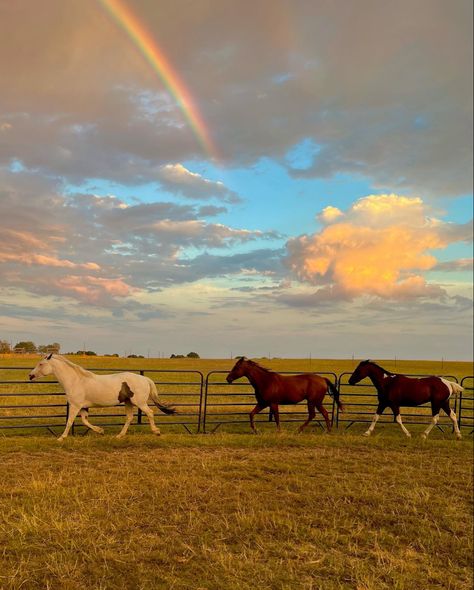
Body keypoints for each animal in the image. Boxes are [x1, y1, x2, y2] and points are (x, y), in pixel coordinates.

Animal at [30, 354, 178, 442]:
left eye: (41, 364)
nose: (30, 376)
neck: (76, 381)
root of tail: (145, 379)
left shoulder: (75, 405)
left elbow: (70, 421)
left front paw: (61, 438)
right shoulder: (83, 407)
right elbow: (84, 421)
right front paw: (100, 431)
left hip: (139, 402)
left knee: (150, 413)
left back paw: (156, 432)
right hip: (128, 402)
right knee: (129, 418)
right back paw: (120, 435)